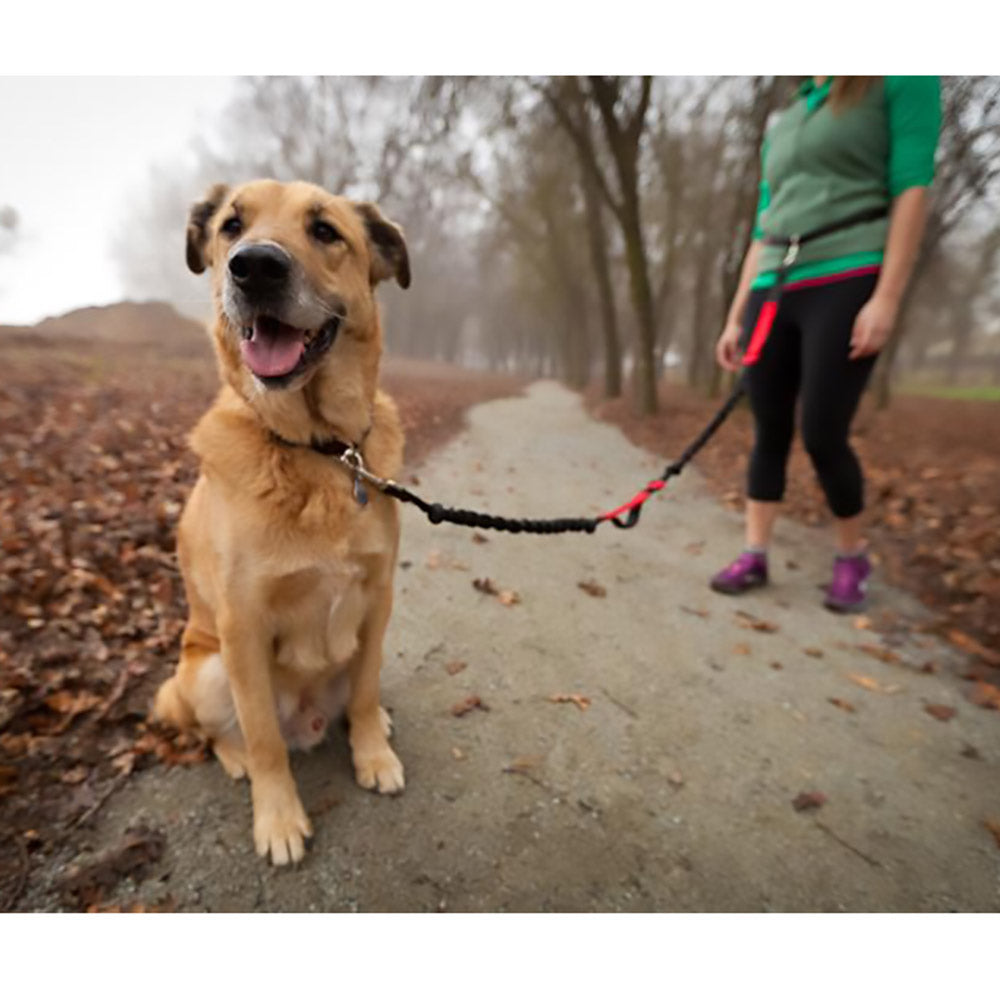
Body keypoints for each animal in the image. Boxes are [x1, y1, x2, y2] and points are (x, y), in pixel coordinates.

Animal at [153, 182, 410, 868]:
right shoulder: (243, 626)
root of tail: (310, 721)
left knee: (356, 690)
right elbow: (266, 737)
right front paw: (278, 818)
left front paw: (373, 754)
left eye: (324, 231)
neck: (320, 451)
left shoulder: (378, 597)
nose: (255, 266)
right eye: (231, 225)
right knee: (225, 733)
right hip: (209, 669)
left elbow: (367, 689)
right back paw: (238, 759)